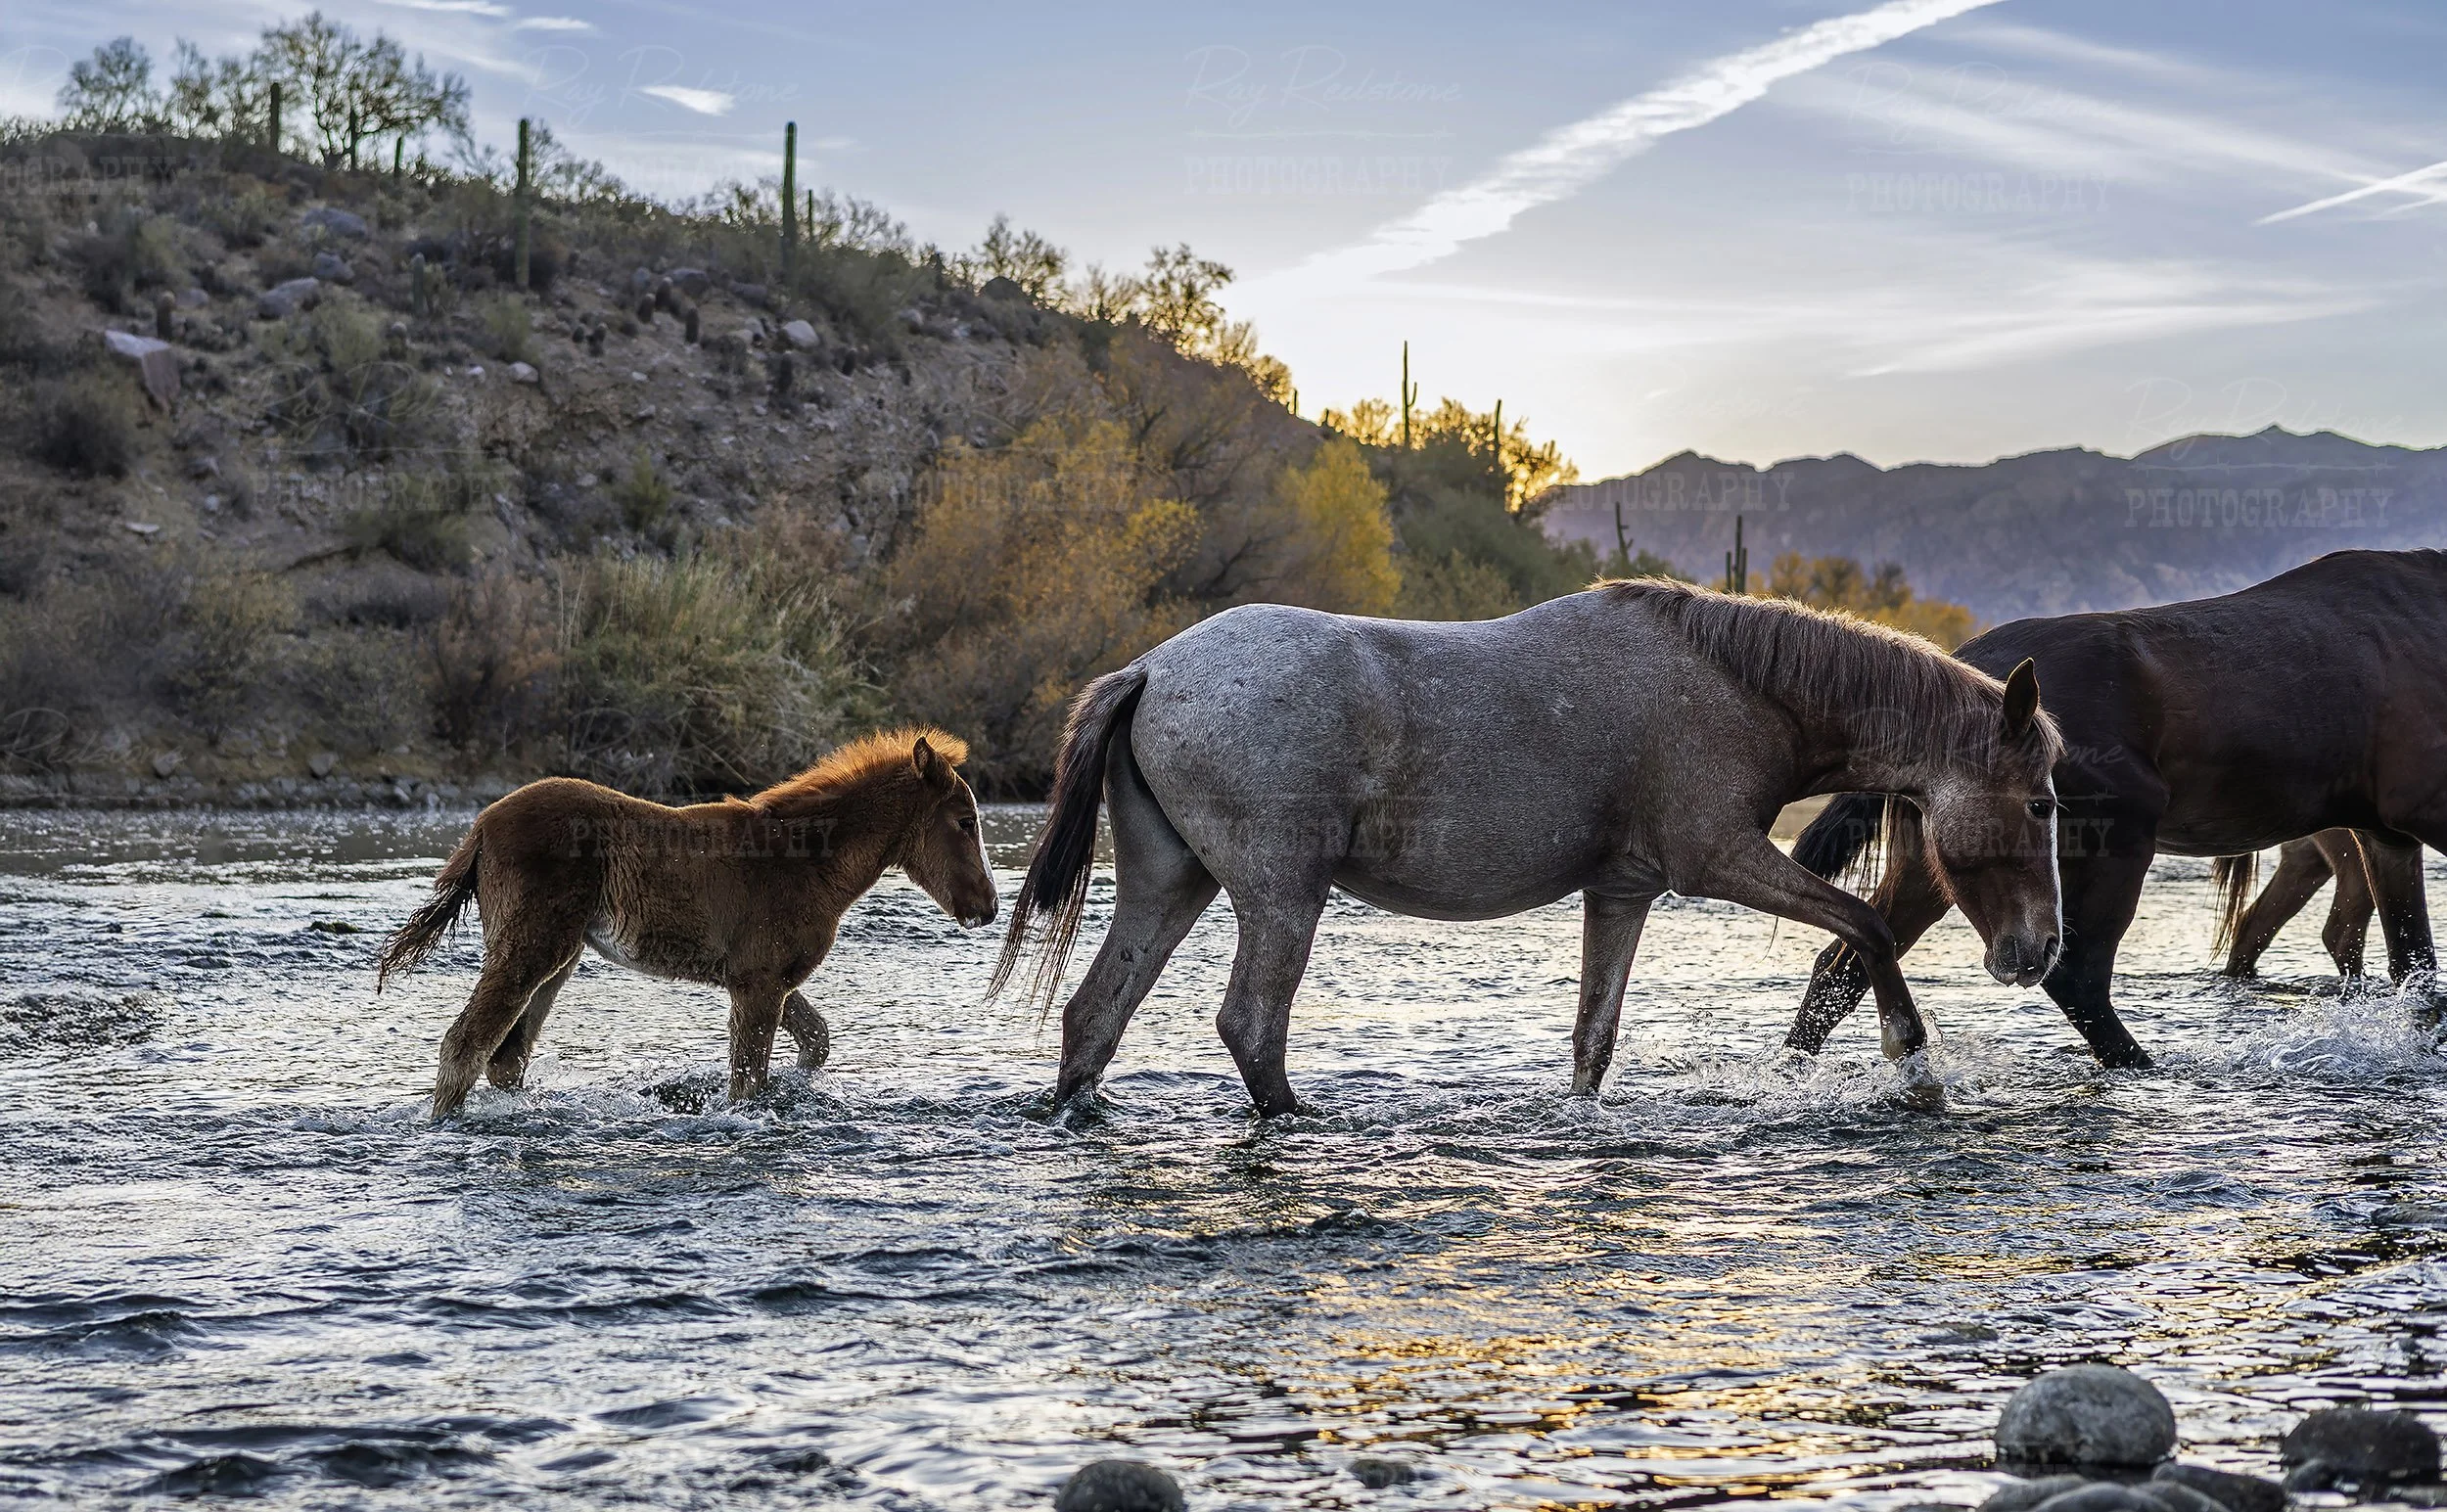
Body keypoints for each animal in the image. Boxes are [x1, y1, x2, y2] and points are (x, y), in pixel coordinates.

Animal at [377, 729, 999, 1118]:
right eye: (964, 822)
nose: (988, 906)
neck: (805, 860)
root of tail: (481, 826)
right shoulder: (757, 981)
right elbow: (746, 1084)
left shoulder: (762, 977)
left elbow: (816, 1040)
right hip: (531, 946)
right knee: (465, 1045)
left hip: (558, 955)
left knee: (505, 1057)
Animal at [992, 579, 2066, 1118]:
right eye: (2045, 801)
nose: (2041, 949)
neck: (1735, 682)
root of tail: (1149, 668)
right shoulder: (1716, 858)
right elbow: (1866, 932)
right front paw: (1913, 1064)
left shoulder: (1624, 890)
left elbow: (1594, 1037)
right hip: (1280, 893)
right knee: (1251, 1025)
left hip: (1168, 886)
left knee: (1095, 1016)